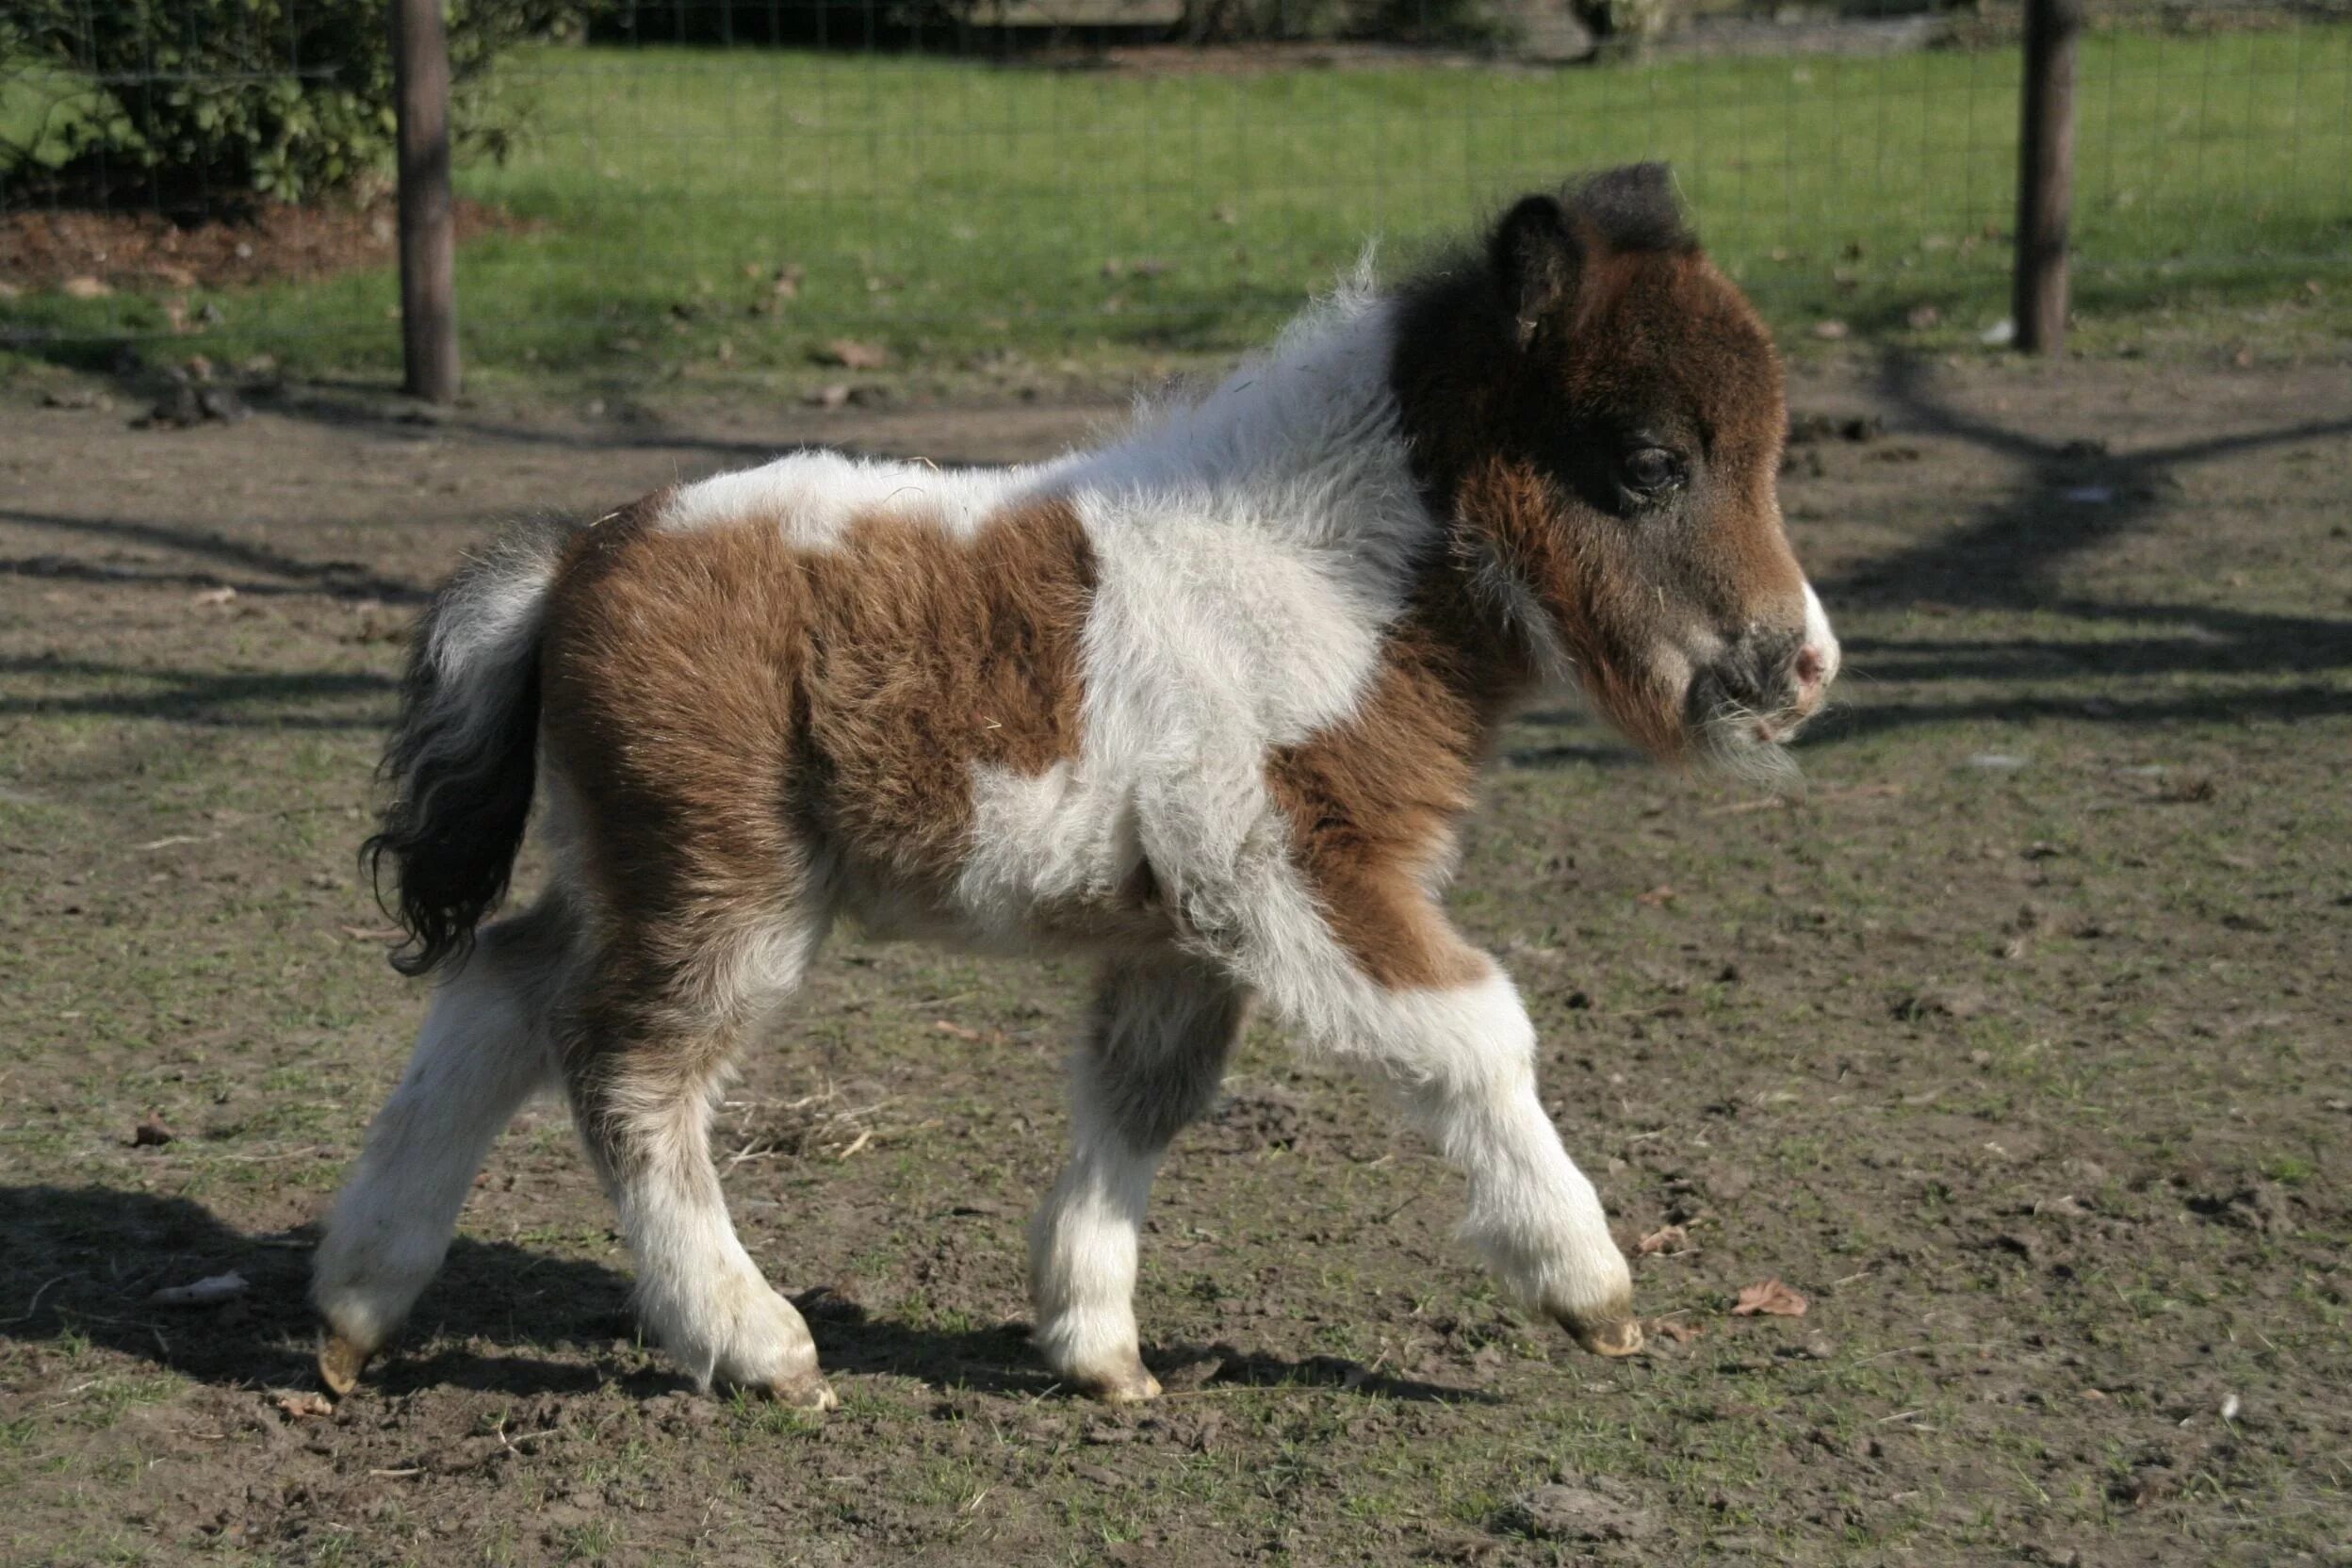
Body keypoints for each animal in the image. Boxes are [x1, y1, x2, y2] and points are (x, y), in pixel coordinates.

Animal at [317, 169, 1834, 1410]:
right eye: (1649, 461)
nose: (1802, 667)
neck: (1312, 577)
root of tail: (575, 562)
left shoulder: (1188, 924)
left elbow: (1140, 1097)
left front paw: (1095, 1343)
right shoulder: (1304, 867)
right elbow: (1476, 1033)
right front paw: (1590, 1286)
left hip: (623, 863)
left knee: (500, 992)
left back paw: (356, 1304)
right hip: (722, 882)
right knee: (625, 1065)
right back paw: (756, 1345)